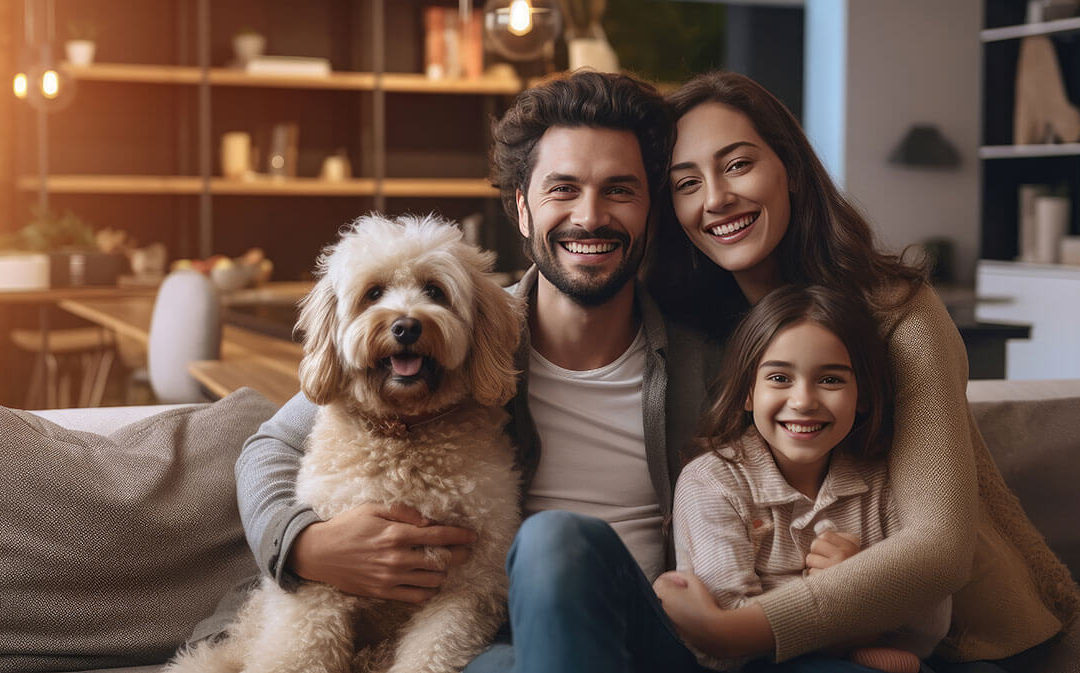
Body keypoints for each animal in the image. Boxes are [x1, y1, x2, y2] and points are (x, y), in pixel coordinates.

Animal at [164, 214, 522, 673]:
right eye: (374, 293)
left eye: (434, 291)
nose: (406, 325)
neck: (402, 432)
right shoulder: (324, 571)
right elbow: (299, 652)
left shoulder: (468, 584)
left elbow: (432, 648)